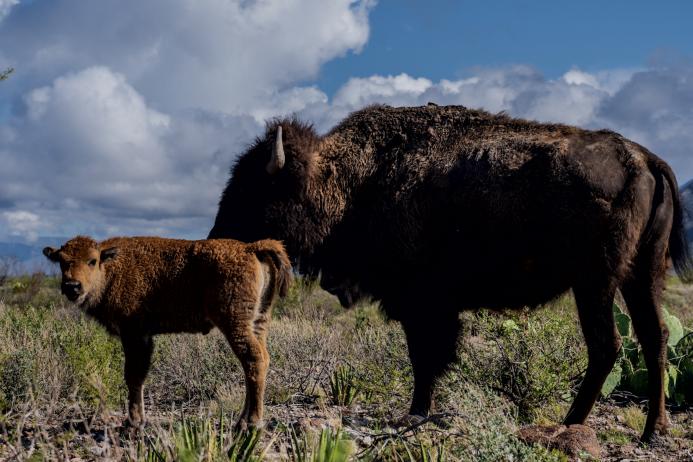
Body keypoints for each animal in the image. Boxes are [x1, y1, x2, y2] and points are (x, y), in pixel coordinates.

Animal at [42, 235, 292, 430]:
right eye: (62, 262)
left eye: (92, 261)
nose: (72, 286)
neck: (111, 266)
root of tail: (251, 248)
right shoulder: (143, 337)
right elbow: (139, 375)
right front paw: (137, 419)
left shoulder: (133, 334)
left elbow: (133, 375)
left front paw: (133, 422)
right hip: (258, 320)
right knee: (256, 363)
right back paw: (241, 421)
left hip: (235, 323)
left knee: (254, 360)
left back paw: (252, 423)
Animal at [208, 104, 688, 440]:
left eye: (255, 189)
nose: (217, 238)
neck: (348, 180)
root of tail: (644, 159)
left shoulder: (423, 305)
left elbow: (425, 359)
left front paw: (416, 413)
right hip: (641, 275)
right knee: (654, 336)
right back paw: (652, 431)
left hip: (596, 283)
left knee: (607, 345)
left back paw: (571, 423)